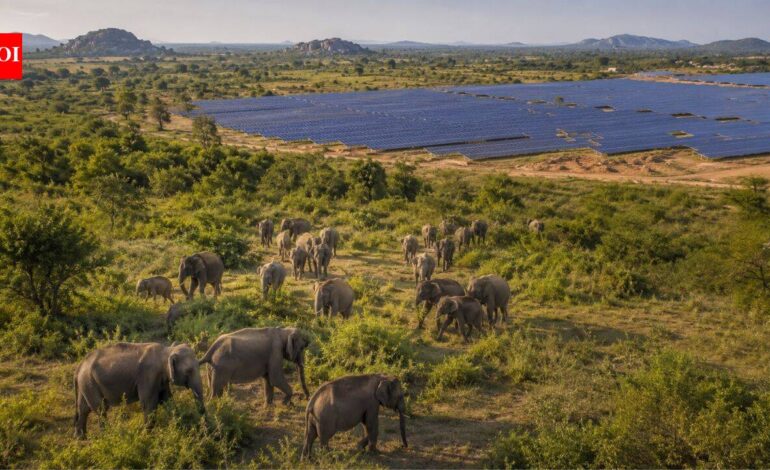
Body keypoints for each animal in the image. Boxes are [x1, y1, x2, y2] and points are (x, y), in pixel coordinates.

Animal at [74, 342, 204, 438]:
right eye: (189, 371)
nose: (203, 430)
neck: (166, 350)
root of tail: (80, 366)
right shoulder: (148, 377)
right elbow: (149, 405)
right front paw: (147, 437)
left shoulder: (161, 380)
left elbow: (168, 400)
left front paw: (181, 428)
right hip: (89, 383)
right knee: (101, 410)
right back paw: (107, 436)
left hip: (86, 384)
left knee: (83, 409)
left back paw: (81, 438)